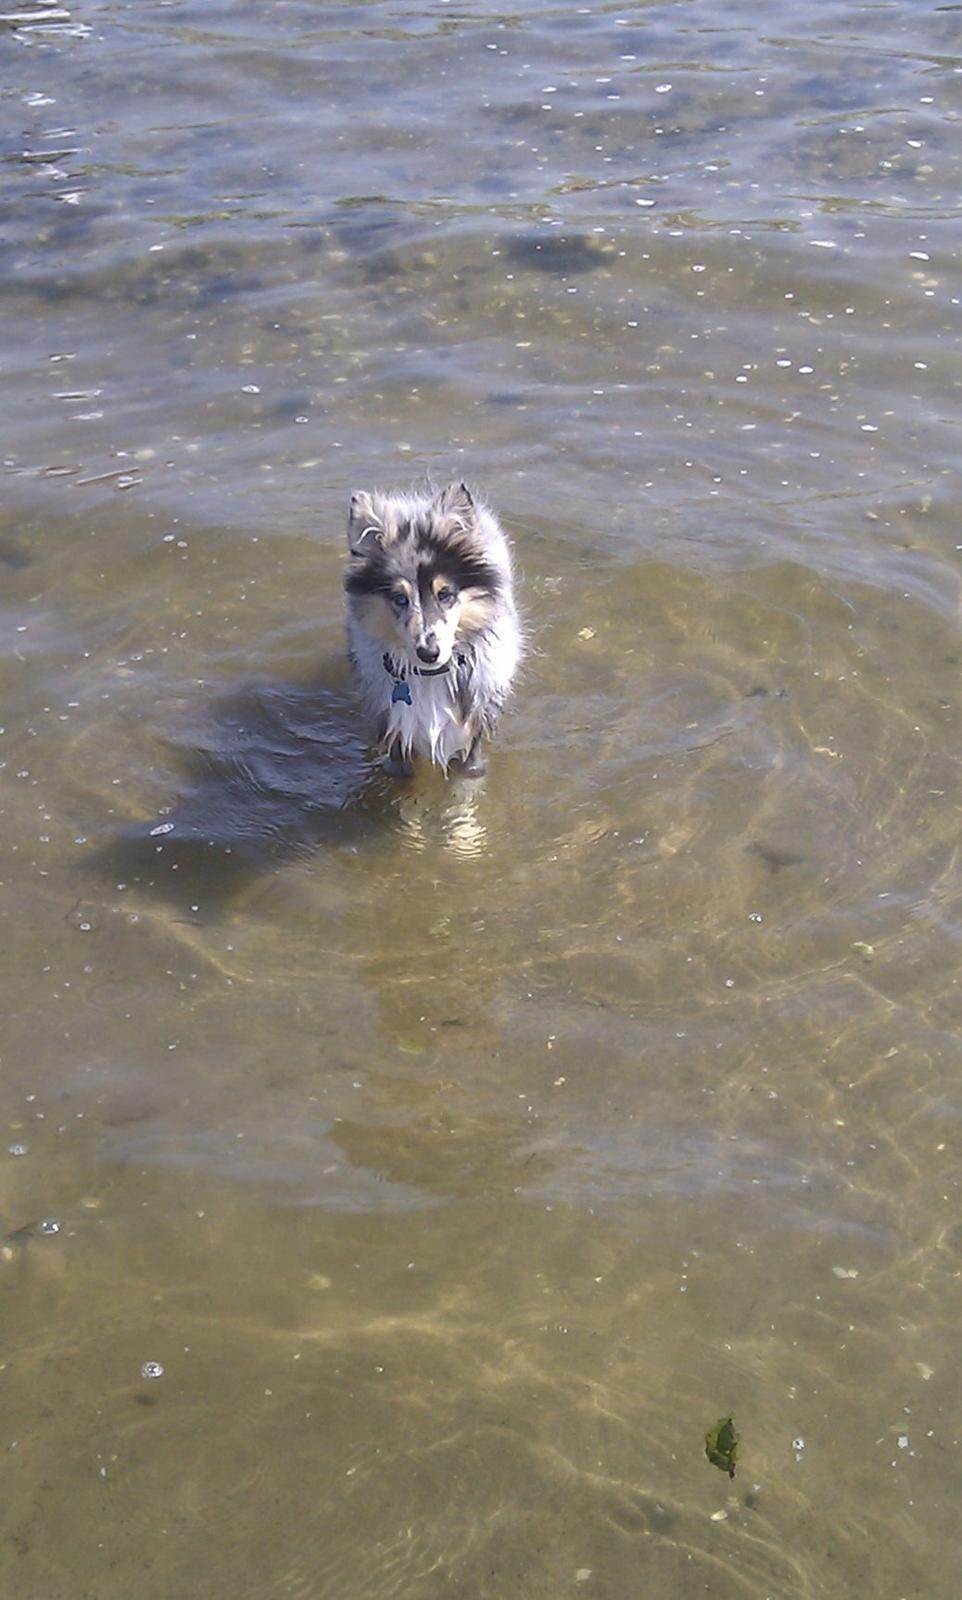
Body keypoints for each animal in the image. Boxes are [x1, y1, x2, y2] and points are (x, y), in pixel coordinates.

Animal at [345, 480, 521, 774]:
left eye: (445, 594)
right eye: (399, 598)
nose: (428, 653)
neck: (431, 677)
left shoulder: (472, 737)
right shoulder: (395, 737)